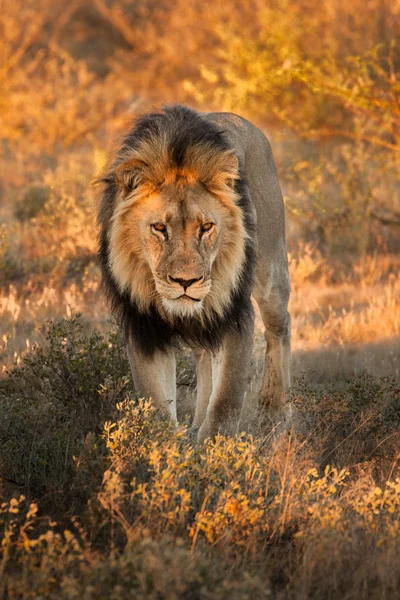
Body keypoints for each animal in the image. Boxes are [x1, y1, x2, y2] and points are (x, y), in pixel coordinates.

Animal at [97, 104, 290, 440]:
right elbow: (156, 402)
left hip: (271, 275)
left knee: (280, 328)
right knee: (203, 357)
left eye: (207, 227)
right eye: (159, 228)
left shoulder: (234, 315)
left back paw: (278, 410)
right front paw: (163, 446)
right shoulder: (144, 326)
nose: (186, 282)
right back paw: (198, 422)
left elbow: (226, 401)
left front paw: (216, 448)